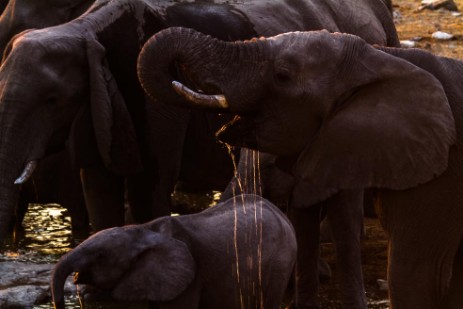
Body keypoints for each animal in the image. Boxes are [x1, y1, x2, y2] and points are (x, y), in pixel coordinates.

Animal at [139, 27, 463, 308]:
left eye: (282, 76)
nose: (177, 79)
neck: (381, 57)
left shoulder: (438, 176)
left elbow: (414, 274)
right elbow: (305, 220)